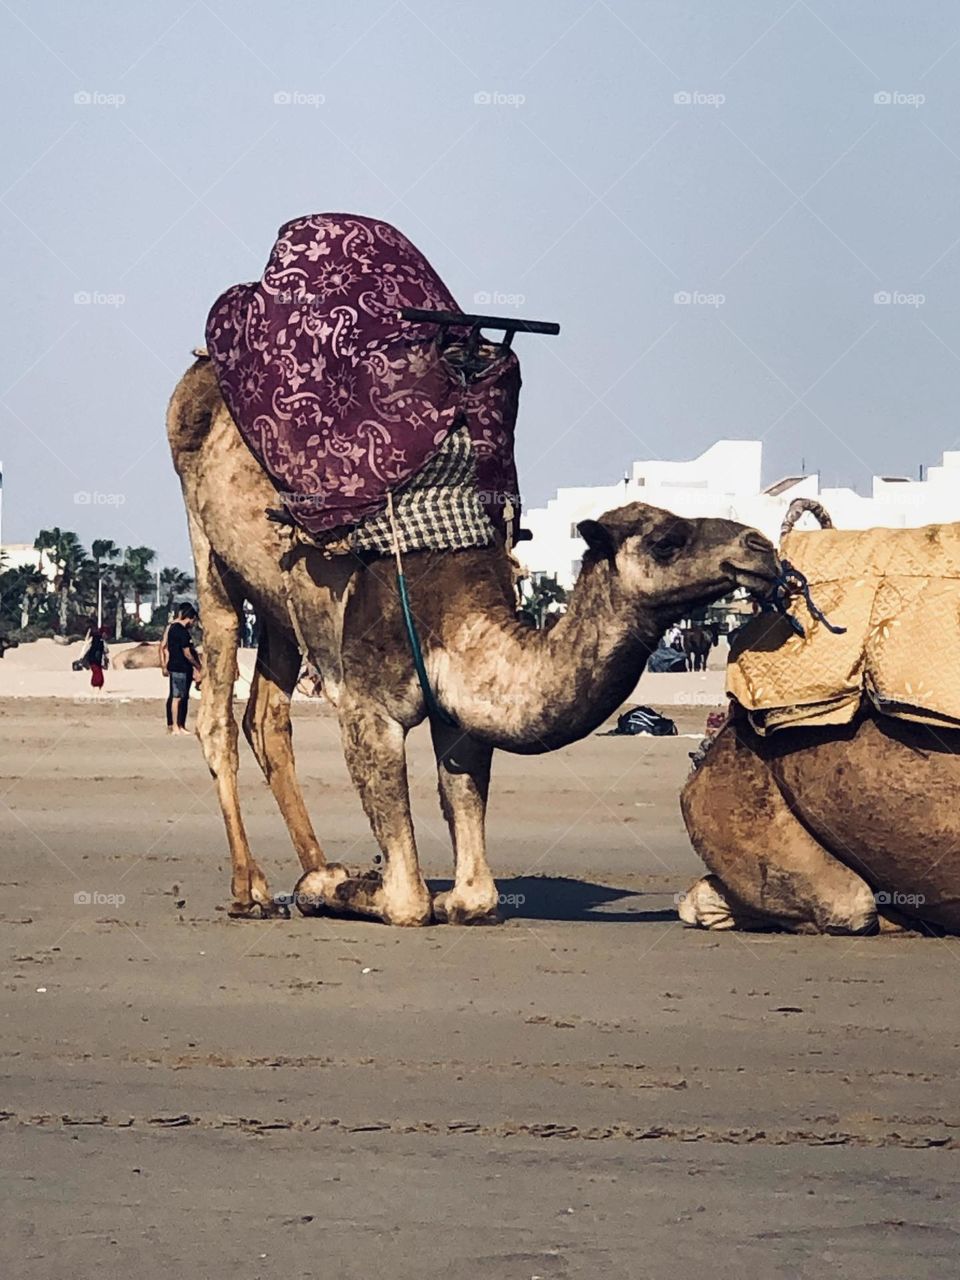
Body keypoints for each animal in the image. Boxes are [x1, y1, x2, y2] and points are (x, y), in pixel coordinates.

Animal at [167, 356, 780, 926]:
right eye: (667, 540)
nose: (761, 548)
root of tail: (198, 369)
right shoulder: (369, 705)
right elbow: (408, 900)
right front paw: (333, 887)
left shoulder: (459, 707)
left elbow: (476, 889)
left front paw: (368, 883)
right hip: (207, 548)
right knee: (218, 714)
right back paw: (252, 890)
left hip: (281, 602)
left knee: (267, 718)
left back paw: (314, 863)